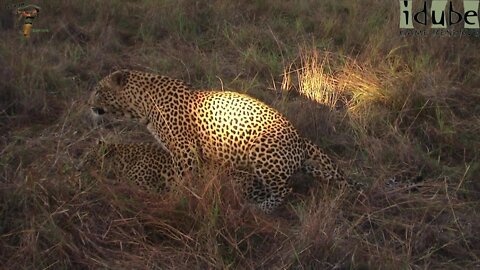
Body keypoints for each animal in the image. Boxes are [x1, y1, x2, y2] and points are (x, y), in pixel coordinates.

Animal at [88, 69, 354, 213]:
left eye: (99, 90)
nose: (88, 104)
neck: (140, 106)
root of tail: (300, 138)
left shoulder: (184, 150)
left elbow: (183, 179)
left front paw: (177, 200)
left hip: (260, 152)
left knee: (284, 189)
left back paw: (260, 208)